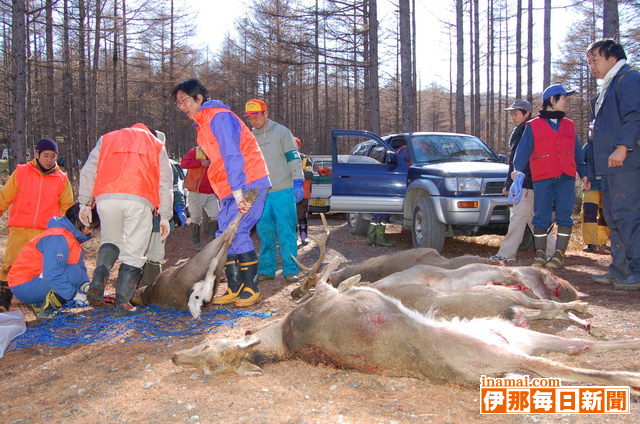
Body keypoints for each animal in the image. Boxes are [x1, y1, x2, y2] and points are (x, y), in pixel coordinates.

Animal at [175, 268, 640, 390]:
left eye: (206, 349)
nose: (177, 356)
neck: (285, 334)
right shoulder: (326, 297)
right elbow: (330, 279)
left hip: (522, 336)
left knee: (581, 345)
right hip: (504, 351)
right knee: (573, 367)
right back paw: (630, 377)